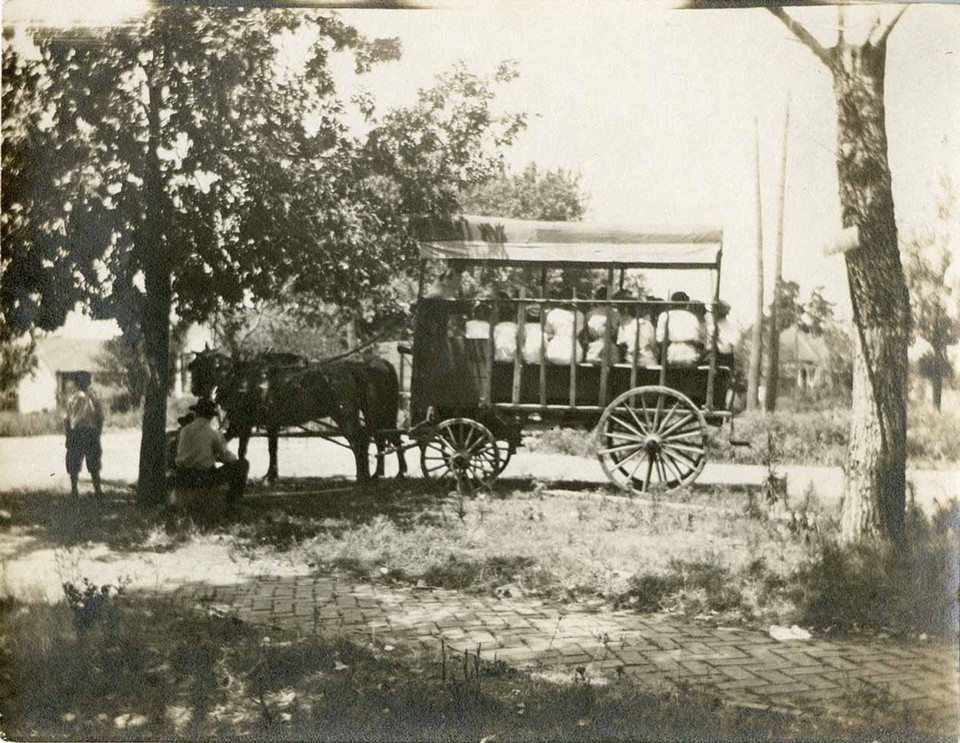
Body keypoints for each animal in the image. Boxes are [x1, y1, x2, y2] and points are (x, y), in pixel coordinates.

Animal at [188, 348, 404, 482]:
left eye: (195, 367)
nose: (193, 389)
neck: (243, 380)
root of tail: (352, 369)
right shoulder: (271, 424)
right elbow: (272, 449)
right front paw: (271, 475)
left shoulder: (242, 423)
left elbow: (239, 448)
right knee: (380, 437)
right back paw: (380, 473)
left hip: (346, 415)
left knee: (362, 440)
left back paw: (365, 476)